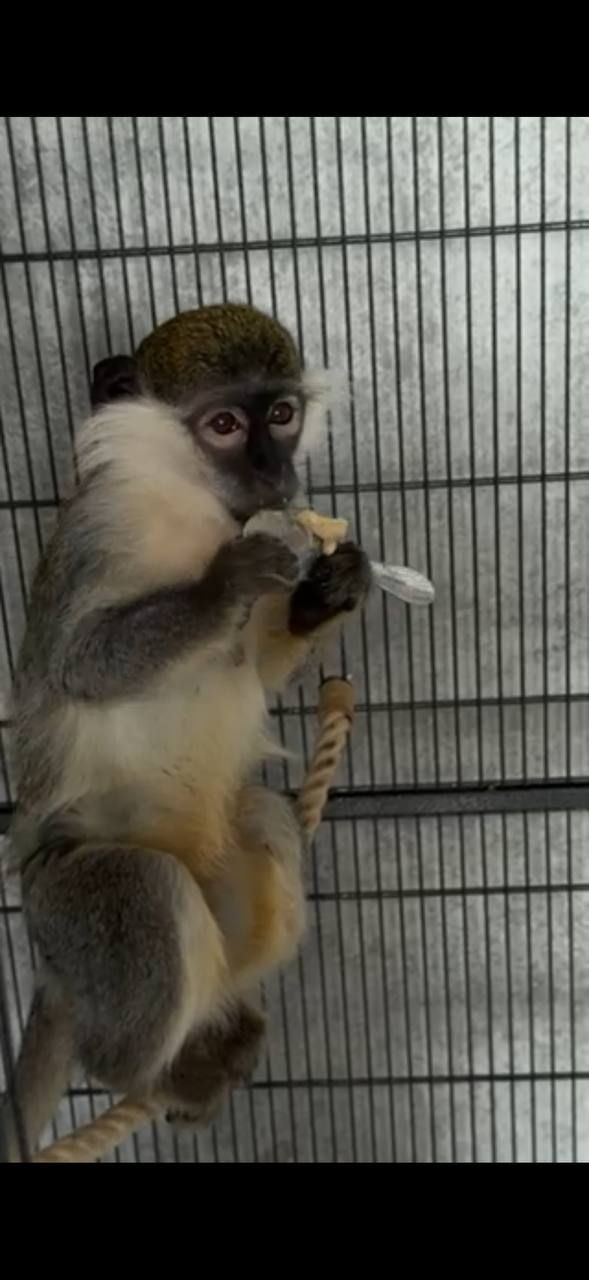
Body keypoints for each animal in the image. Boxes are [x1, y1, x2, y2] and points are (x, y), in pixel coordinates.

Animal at [0, 303, 371, 1161]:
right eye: (225, 425)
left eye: (281, 413)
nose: (274, 474)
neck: (193, 505)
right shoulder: (94, 529)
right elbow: (75, 666)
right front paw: (224, 586)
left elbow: (257, 668)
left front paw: (328, 589)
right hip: (66, 908)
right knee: (140, 883)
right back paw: (148, 1073)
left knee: (264, 819)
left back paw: (223, 1025)